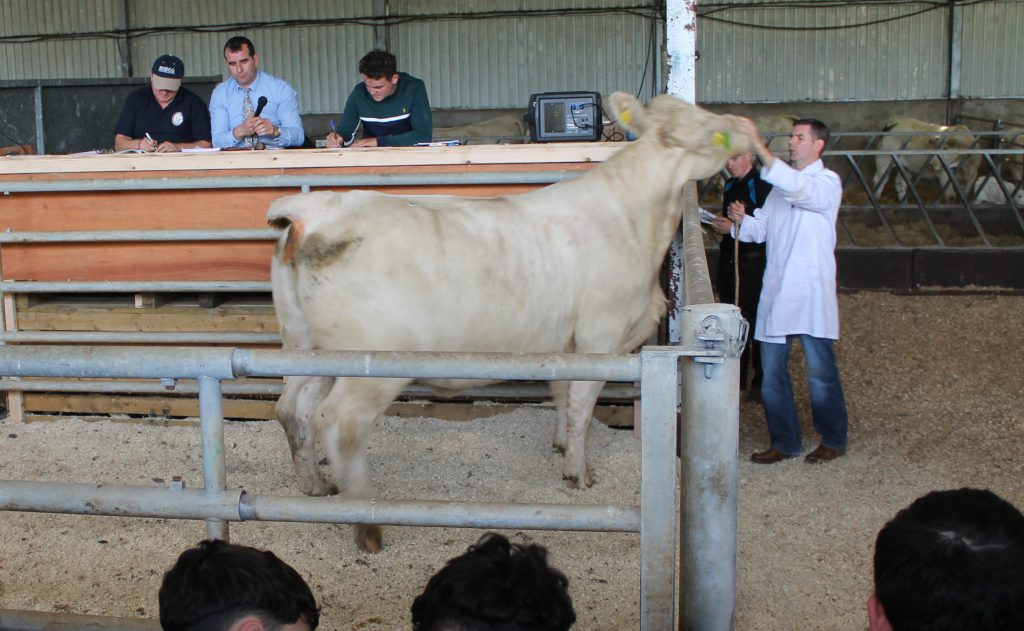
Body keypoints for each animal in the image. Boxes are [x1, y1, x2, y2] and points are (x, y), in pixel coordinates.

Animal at [267, 92, 749, 552]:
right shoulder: (601, 336)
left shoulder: (567, 343)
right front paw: (578, 473)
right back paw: (367, 525)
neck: (632, 221)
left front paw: (560, 446)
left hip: (307, 345)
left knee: (294, 409)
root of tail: (314, 211)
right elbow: (582, 405)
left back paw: (315, 486)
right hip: (371, 363)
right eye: (703, 129)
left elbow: (563, 396)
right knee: (340, 424)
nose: (742, 126)